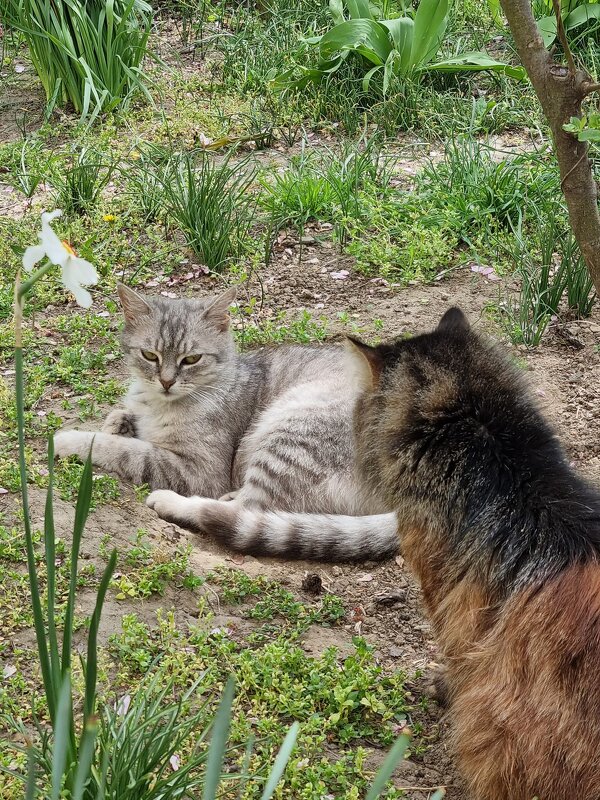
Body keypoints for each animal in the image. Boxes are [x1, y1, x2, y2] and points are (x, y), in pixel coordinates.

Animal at [54, 284, 396, 560]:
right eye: (150, 355)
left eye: (191, 359)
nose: (166, 381)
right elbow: (121, 421)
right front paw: (119, 422)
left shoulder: (199, 470)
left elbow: (122, 449)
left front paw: (68, 439)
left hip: (290, 431)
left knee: (243, 511)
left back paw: (174, 501)